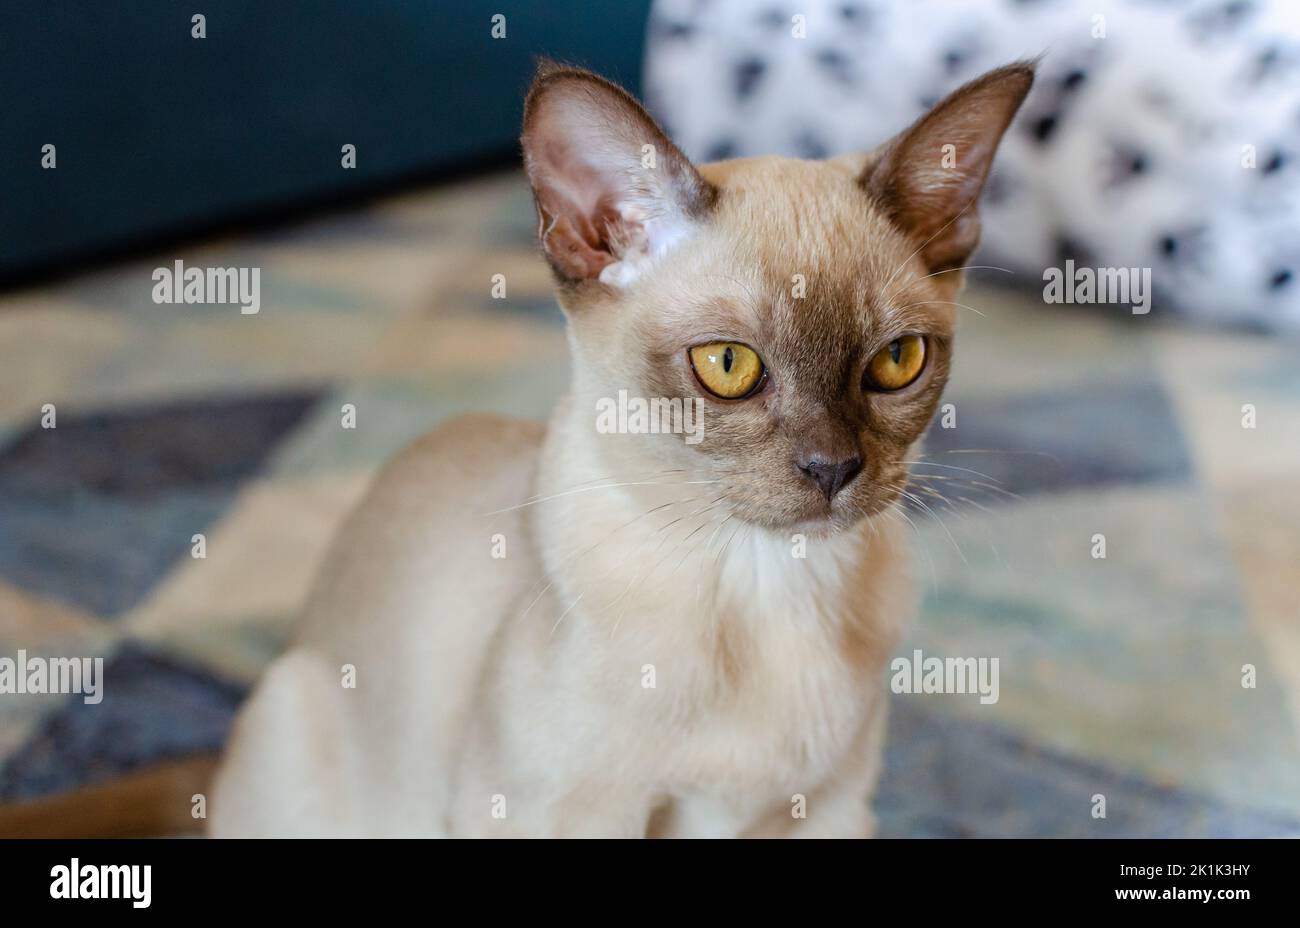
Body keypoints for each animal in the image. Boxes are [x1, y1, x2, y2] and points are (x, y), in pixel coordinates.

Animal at [210, 61, 1034, 837]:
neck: (766, 585)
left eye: (897, 361)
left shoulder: (831, 810)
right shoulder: (557, 814)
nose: (834, 469)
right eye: (728, 366)